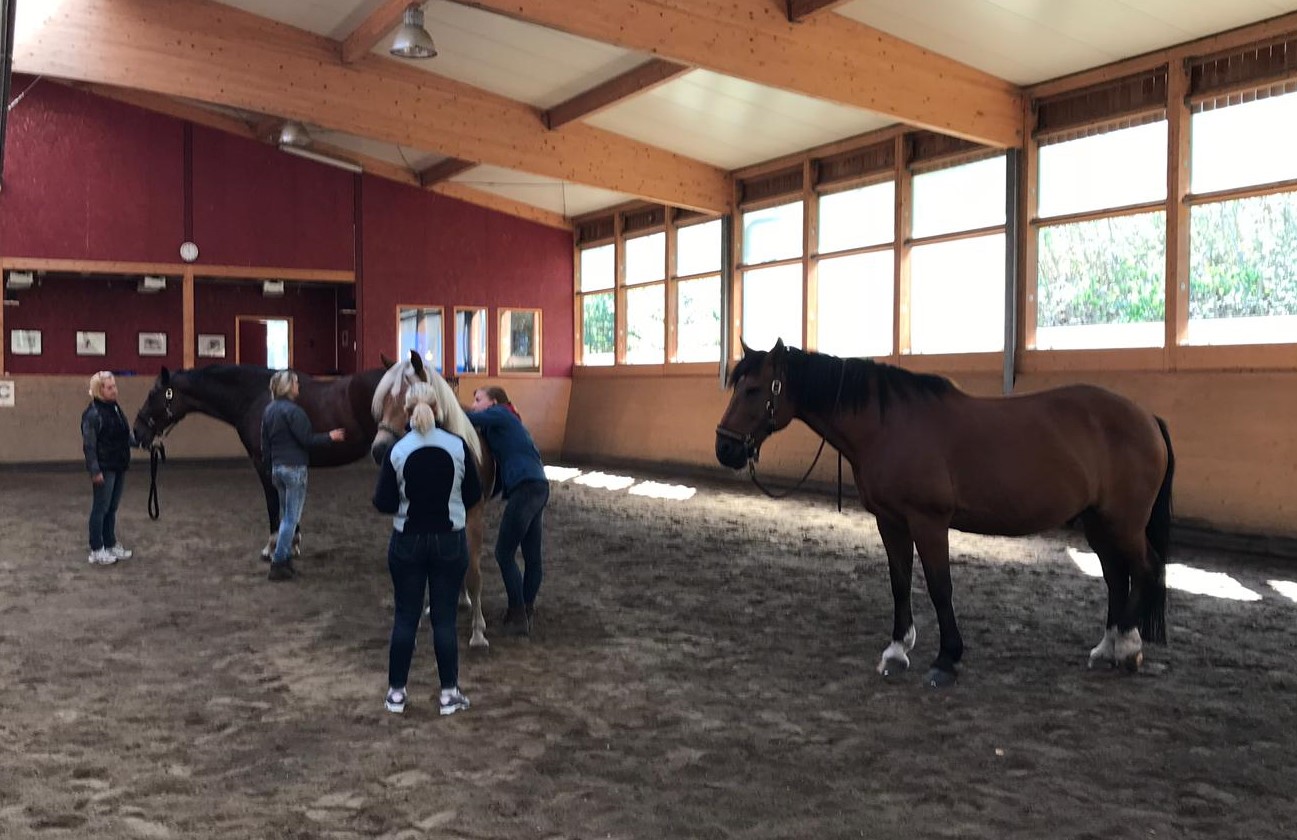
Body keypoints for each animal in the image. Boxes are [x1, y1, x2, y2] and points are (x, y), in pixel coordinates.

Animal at [132, 363, 390, 560]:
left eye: (152, 394)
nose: (136, 432)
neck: (255, 397)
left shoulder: (264, 463)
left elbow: (273, 504)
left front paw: (272, 548)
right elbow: (288, 504)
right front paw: (292, 543)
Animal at [715, 339, 1174, 688]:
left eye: (754, 389)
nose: (726, 448)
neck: (888, 425)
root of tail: (1146, 417)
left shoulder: (929, 522)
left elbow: (940, 587)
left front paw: (947, 659)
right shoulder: (890, 521)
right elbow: (899, 582)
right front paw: (897, 650)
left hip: (1124, 522)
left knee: (1146, 569)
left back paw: (1128, 648)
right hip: (1099, 522)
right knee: (1115, 575)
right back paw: (1107, 646)